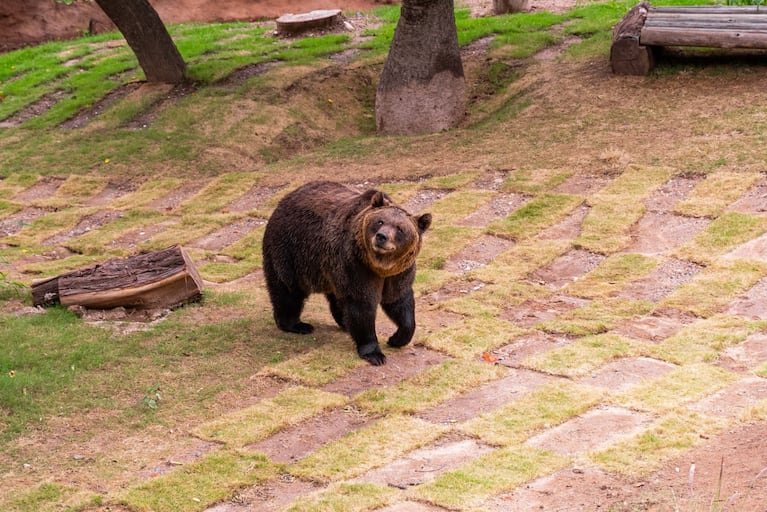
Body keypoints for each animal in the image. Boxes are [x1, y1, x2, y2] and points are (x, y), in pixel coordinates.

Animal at [261, 180, 432, 366]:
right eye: (380, 221)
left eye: (400, 229)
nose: (382, 237)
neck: (379, 266)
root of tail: (285, 199)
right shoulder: (356, 265)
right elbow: (361, 305)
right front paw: (374, 353)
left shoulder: (398, 273)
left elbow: (399, 301)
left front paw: (396, 339)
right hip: (291, 251)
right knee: (287, 290)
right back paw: (296, 324)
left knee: (337, 297)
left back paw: (343, 323)